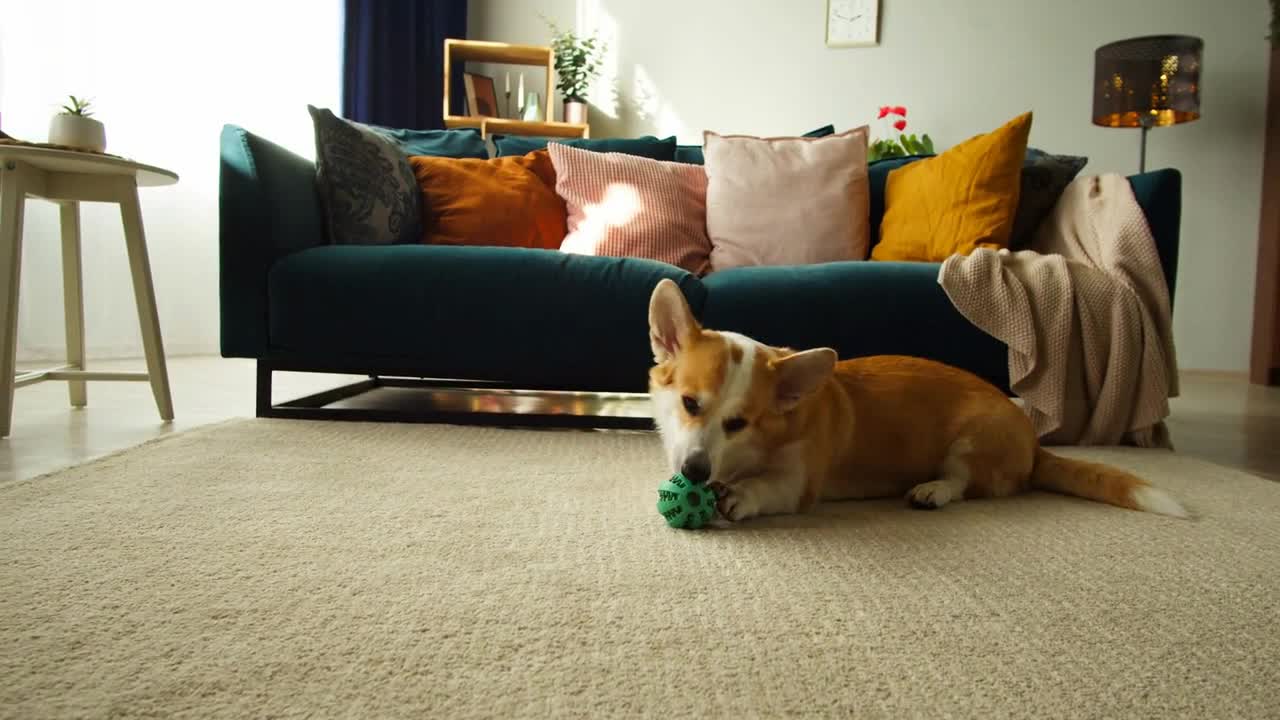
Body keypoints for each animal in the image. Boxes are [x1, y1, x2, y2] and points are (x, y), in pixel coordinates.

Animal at [650, 278, 1187, 517]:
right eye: (690, 404)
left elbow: (768, 488)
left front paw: (741, 495)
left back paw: (934, 490)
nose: (693, 473)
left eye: (739, 423)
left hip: (971, 441)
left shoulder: (798, 482)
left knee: (967, 483)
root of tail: (1035, 445)